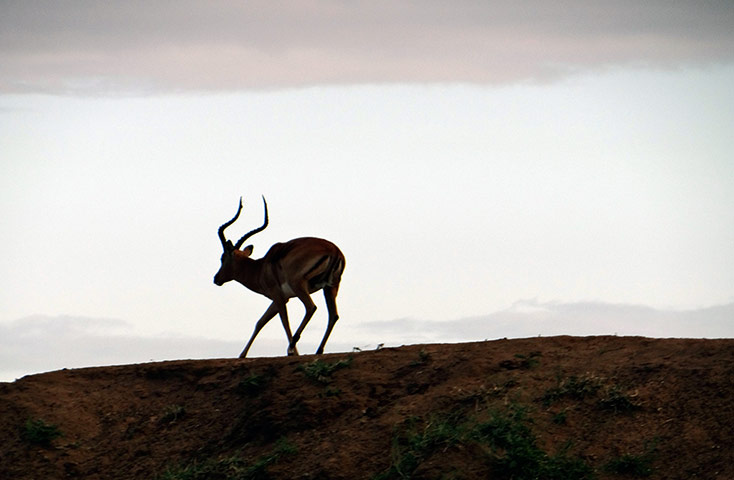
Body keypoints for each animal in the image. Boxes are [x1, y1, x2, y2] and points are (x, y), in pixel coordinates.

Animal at [213, 196, 345, 358]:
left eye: (222, 258)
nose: (216, 278)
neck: (260, 268)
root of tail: (335, 250)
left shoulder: (278, 296)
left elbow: (284, 322)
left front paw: (293, 352)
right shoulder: (282, 298)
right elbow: (260, 322)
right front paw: (242, 355)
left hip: (299, 285)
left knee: (311, 307)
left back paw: (292, 347)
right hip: (330, 287)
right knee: (333, 315)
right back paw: (318, 351)